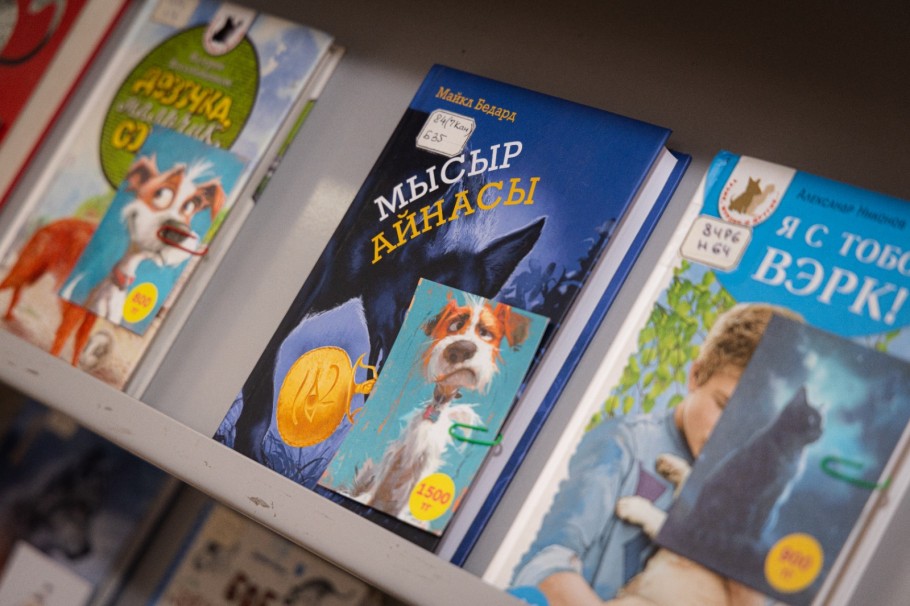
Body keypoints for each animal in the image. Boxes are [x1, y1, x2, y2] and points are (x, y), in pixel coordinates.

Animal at [348, 293, 532, 519]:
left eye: (485, 333)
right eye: (454, 325)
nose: (460, 350)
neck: (437, 408)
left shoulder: (425, 462)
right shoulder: (398, 453)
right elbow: (380, 479)